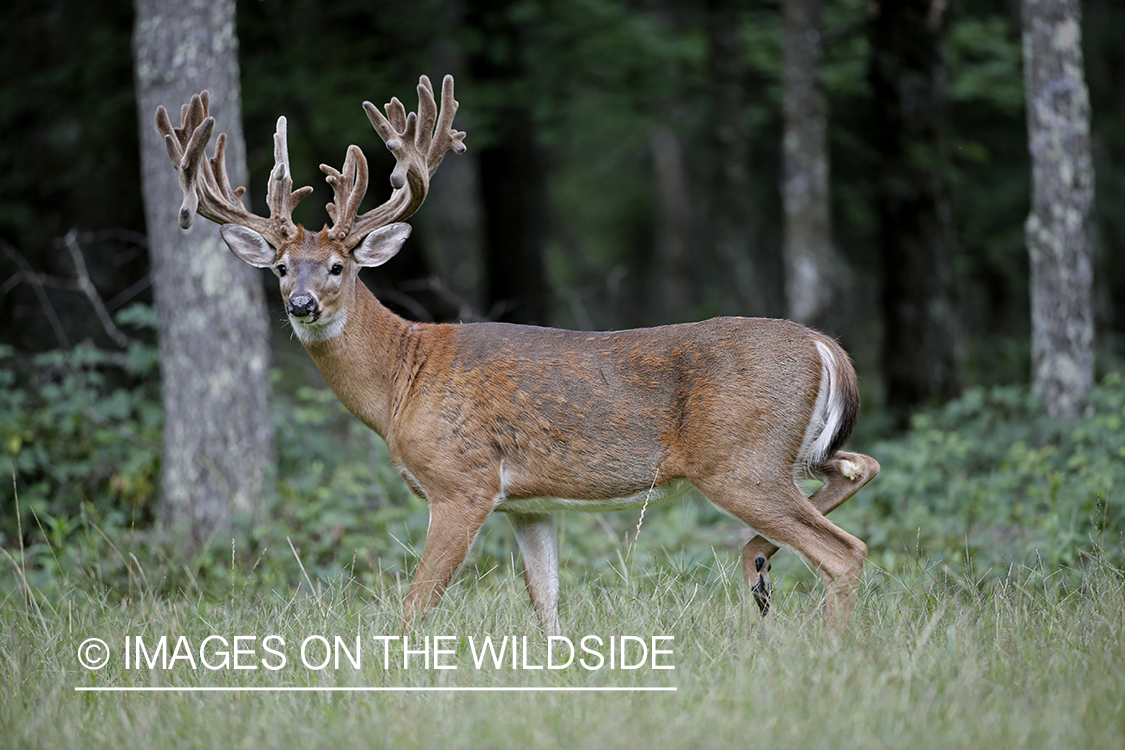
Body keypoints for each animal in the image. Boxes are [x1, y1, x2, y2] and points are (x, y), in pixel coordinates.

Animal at [156, 73, 877, 634]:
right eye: (280, 268)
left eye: (338, 266)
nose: (302, 304)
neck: (402, 380)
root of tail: (825, 347)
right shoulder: (530, 504)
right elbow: (547, 607)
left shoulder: (462, 482)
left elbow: (415, 606)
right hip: (790, 450)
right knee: (858, 467)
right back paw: (759, 560)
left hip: (739, 459)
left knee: (845, 552)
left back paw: (824, 642)